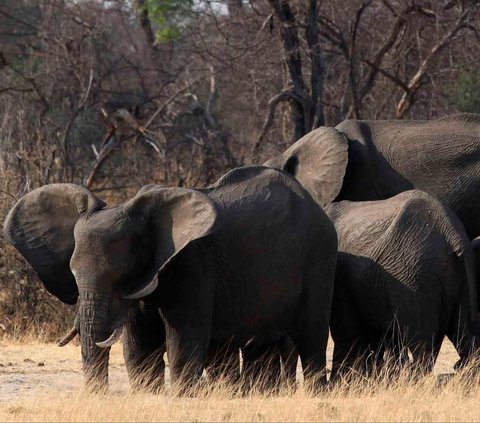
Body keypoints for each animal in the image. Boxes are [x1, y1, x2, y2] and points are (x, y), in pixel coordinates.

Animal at [2, 166, 338, 394]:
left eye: (119, 276)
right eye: (73, 273)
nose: (98, 396)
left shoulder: (190, 265)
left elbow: (182, 339)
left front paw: (181, 397)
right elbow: (139, 345)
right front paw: (147, 395)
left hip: (319, 259)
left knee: (312, 336)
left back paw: (314, 392)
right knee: (261, 342)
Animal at [322, 192, 480, 380]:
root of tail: (454, 235)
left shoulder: (340, 275)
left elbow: (346, 331)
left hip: (413, 278)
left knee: (421, 345)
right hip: (458, 278)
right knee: (465, 336)